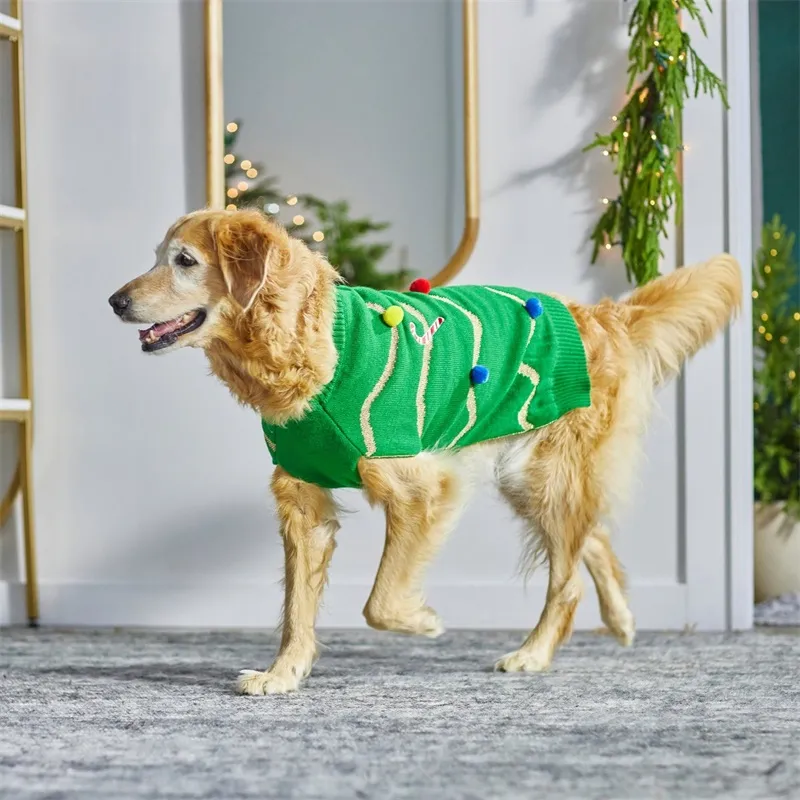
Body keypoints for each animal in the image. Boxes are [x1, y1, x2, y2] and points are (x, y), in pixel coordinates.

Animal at [109, 208, 740, 692]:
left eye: (184, 261)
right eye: (158, 255)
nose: (114, 300)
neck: (308, 348)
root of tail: (597, 314)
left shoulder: (422, 488)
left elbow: (379, 601)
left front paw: (424, 621)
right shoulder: (302, 501)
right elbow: (295, 610)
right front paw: (283, 674)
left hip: (545, 473)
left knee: (568, 579)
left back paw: (534, 654)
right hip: (526, 474)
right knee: (595, 538)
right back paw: (623, 619)